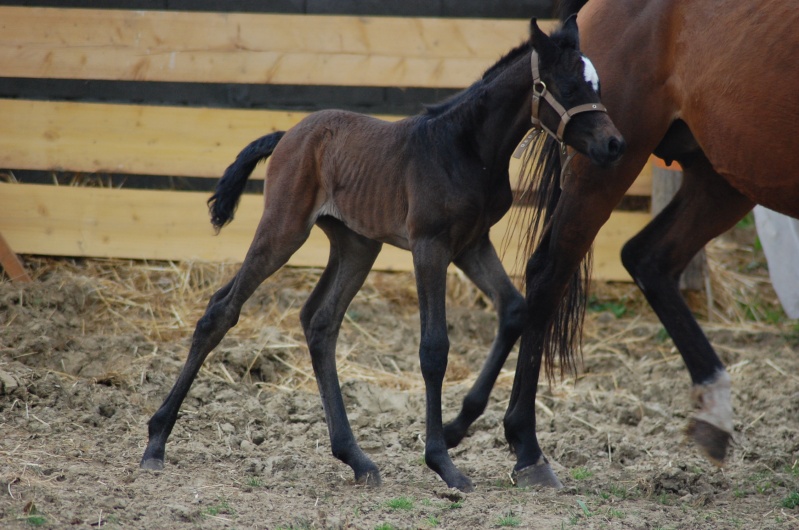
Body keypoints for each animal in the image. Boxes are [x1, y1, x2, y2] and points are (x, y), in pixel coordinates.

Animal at [139, 17, 624, 490]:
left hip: (357, 244)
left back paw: (355, 458)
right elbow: (434, 349)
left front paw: (458, 427)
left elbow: (515, 308)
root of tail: (288, 134)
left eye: (598, 86)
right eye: (568, 87)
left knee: (320, 322)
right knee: (222, 309)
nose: (615, 145)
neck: (465, 147)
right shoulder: (430, 246)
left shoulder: (471, 243)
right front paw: (443, 462)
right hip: (284, 228)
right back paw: (156, 442)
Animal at [446, 0, 799, 486]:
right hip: (612, 168)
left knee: (648, 258)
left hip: (719, 176)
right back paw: (527, 447)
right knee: (550, 272)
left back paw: (712, 416)